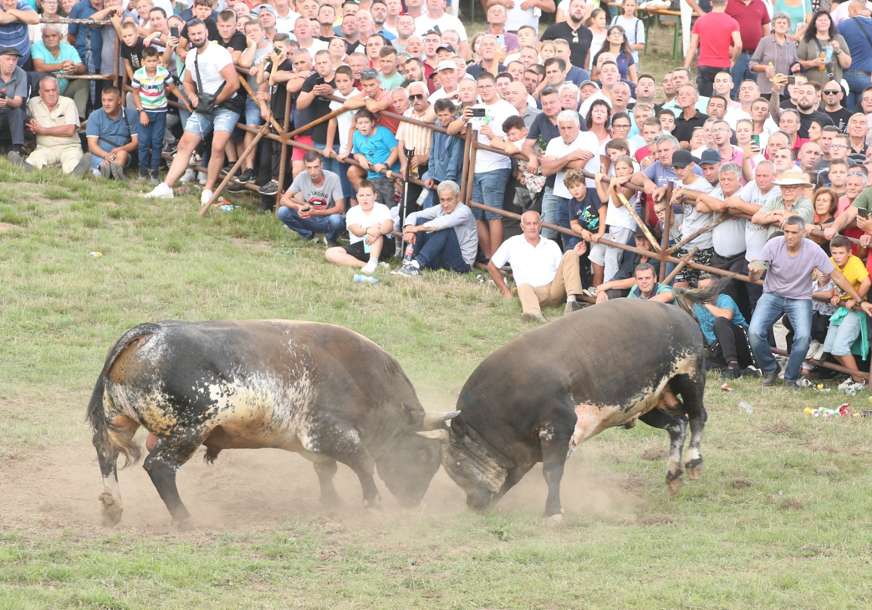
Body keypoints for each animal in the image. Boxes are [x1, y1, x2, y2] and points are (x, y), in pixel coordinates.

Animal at [87, 320, 454, 524]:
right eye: (425, 457)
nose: (413, 501)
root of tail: (150, 333)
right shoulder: (327, 431)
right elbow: (361, 462)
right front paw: (373, 503)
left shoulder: (313, 443)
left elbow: (326, 469)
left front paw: (332, 502)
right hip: (189, 430)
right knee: (160, 467)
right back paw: (184, 518)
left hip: (118, 419)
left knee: (107, 455)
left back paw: (112, 507)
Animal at [422, 300, 708, 516]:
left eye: (457, 465)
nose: (473, 503)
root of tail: (679, 314)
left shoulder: (559, 426)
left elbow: (552, 472)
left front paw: (553, 512)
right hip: (650, 402)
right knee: (677, 424)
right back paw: (673, 475)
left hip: (691, 376)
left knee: (697, 416)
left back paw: (693, 461)